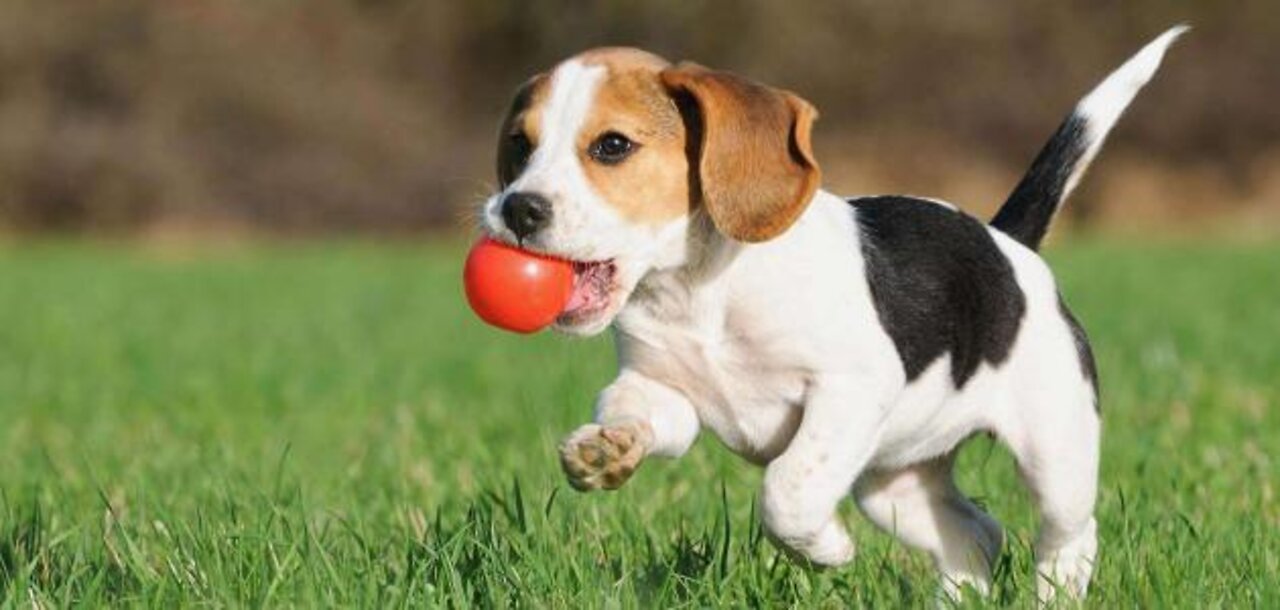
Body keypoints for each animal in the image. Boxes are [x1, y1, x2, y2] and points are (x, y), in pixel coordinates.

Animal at [481, 27, 1187, 598]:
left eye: (612, 146)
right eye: (519, 145)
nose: (517, 209)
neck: (697, 291)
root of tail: (1006, 242)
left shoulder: (850, 389)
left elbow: (788, 490)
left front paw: (827, 550)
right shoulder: (664, 391)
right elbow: (633, 409)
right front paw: (607, 449)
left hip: (1055, 453)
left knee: (1068, 535)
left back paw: (1055, 593)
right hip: (894, 485)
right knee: (977, 535)